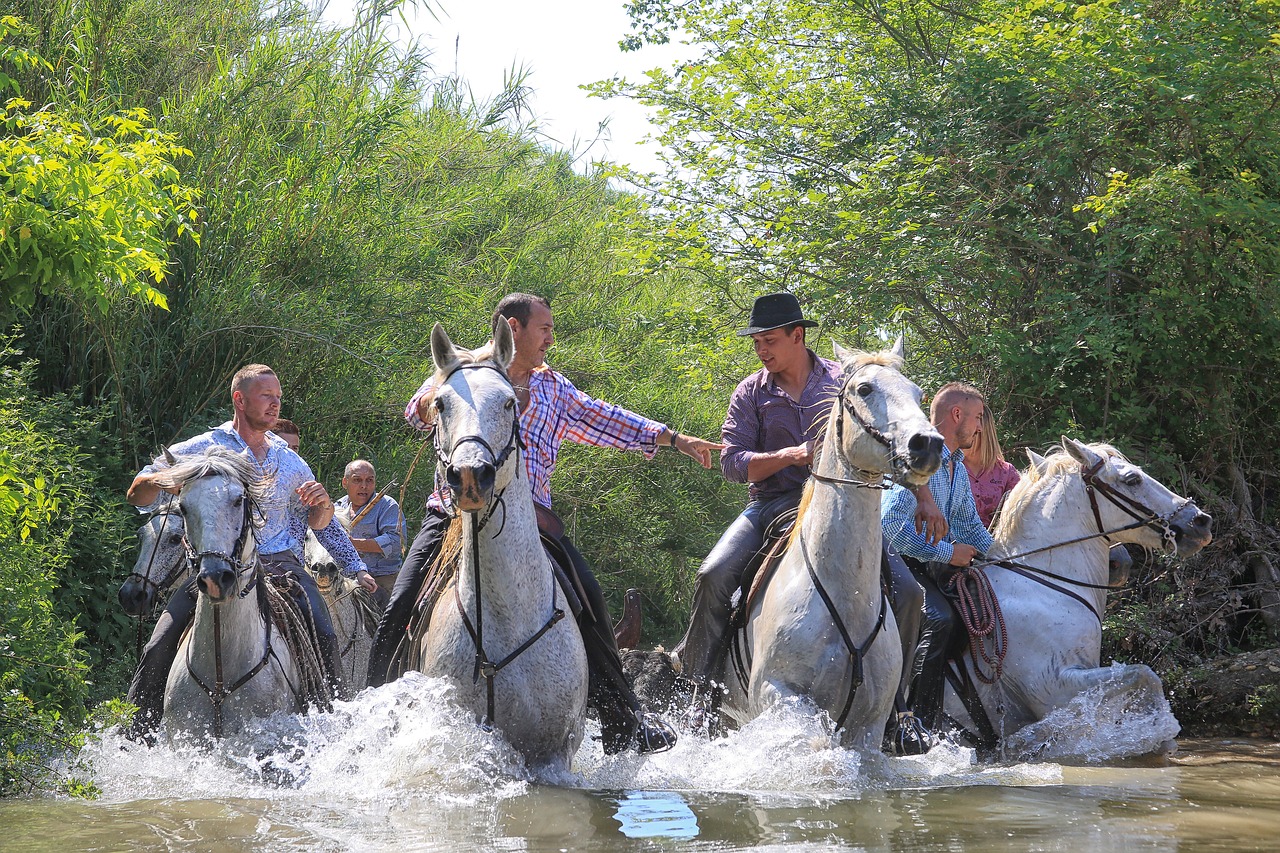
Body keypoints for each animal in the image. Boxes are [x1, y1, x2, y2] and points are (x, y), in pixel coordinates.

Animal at [727, 338, 947, 742]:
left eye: (917, 393)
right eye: (865, 389)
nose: (927, 444)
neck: (846, 597)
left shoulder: (870, 725)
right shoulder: (778, 696)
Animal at [947, 438, 1213, 753]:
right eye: (1132, 479)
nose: (1201, 522)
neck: (1044, 587)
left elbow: (1141, 678)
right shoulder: (1053, 689)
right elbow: (1144, 674)